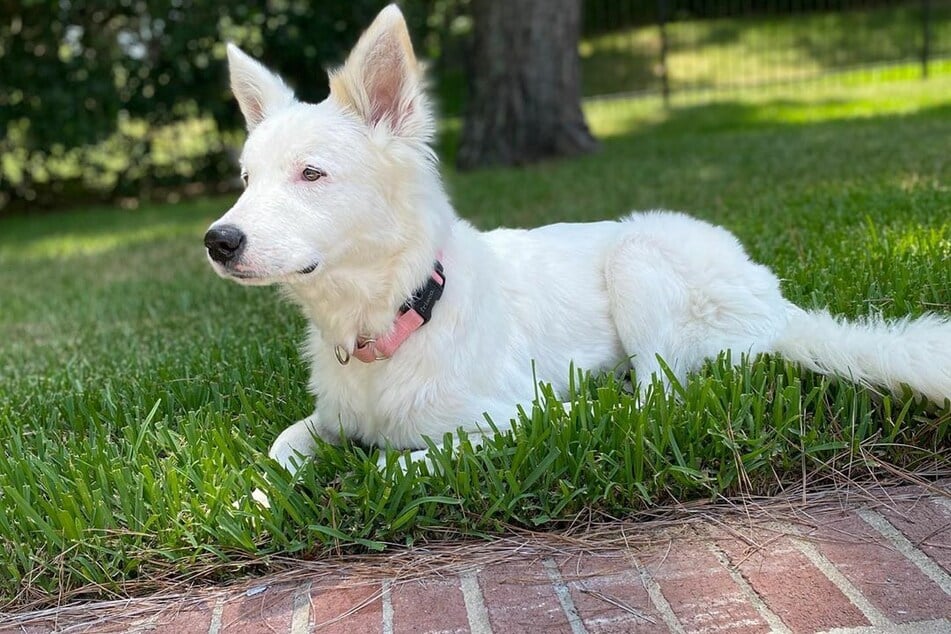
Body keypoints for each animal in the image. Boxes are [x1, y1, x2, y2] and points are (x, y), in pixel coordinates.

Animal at [208, 3, 951, 474]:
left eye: (311, 174)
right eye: (245, 179)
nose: (219, 240)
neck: (402, 310)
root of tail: (773, 298)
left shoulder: (502, 418)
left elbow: (396, 466)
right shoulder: (329, 418)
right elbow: (279, 452)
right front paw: (257, 499)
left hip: (637, 259)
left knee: (658, 399)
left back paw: (596, 402)